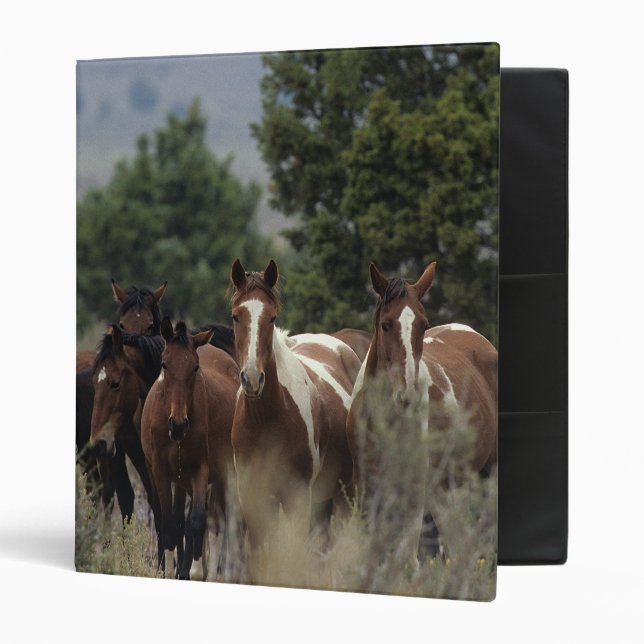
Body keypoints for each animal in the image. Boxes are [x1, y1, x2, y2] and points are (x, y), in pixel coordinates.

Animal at [141, 319, 239, 580]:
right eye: (164, 364)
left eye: (195, 368)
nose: (178, 424)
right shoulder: (160, 471)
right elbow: (168, 525)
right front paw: (170, 572)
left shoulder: (201, 469)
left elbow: (197, 522)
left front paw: (193, 572)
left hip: (223, 474)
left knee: (218, 523)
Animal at [229, 259, 361, 567]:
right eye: (236, 316)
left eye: (272, 317)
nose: (252, 379)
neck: (266, 420)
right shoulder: (253, 499)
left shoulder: (298, 499)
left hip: (342, 495)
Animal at [346, 261, 497, 564]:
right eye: (385, 324)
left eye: (423, 325)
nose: (407, 396)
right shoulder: (366, 488)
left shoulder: (414, 492)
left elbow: (405, 558)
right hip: (446, 491)